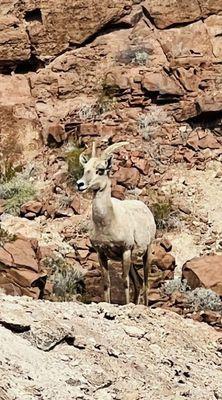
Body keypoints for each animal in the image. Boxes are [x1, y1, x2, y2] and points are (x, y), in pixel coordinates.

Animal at [76, 142, 156, 304]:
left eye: (100, 170)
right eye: (85, 169)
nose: (80, 184)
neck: (108, 223)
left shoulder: (125, 250)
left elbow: (124, 281)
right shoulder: (101, 253)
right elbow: (106, 282)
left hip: (147, 252)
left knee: (145, 282)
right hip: (131, 260)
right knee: (138, 283)